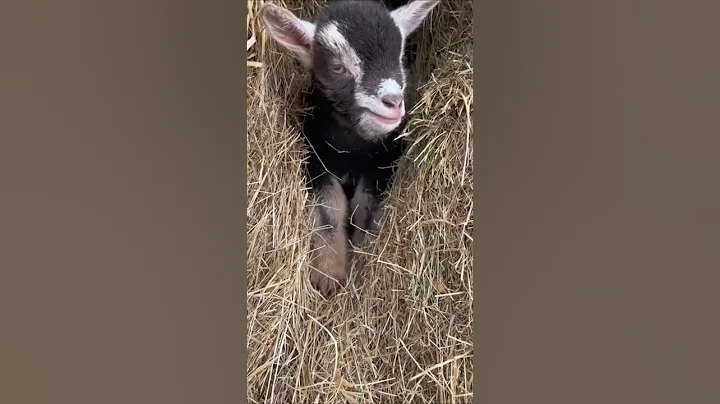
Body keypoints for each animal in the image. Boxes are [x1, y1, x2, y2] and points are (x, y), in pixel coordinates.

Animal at [260, 0, 440, 297]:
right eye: (337, 68)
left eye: (400, 58)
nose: (393, 102)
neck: (352, 150)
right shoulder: (316, 161)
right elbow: (329, 211)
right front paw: (328, 275)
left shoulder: (382, 165)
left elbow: (364, 208)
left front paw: (363, 253)